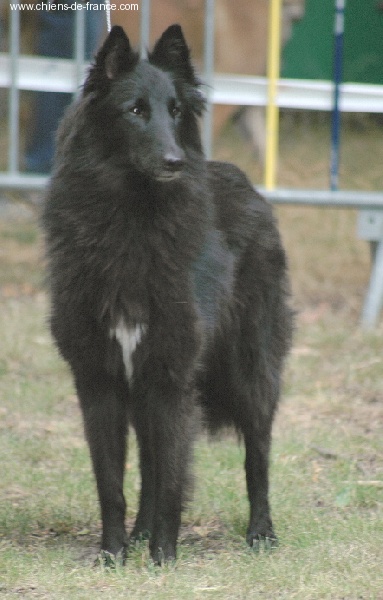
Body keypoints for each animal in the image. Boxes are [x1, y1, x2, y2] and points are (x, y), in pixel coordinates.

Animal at [42, 23, 294, 564]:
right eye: (135, 110)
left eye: (176, 111)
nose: (175, 162)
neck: (130, 222)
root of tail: (246, 183)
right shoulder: (101, 382)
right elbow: (114, 484)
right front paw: (114, 555)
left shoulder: (172, 380)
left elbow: (174, 481)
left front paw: (163, 558)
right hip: (145, 394)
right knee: (149, 470)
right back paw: (138, 535)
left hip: (251, 373)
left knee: (257, 459)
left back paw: (261, 533)